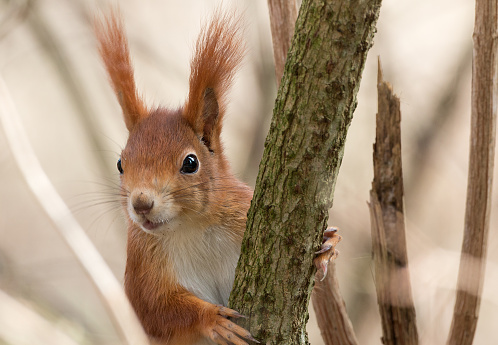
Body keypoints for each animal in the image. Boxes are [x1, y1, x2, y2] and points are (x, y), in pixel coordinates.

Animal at [95, 6, 340, 344]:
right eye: (121, 163)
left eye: (190, 163)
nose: (141, 204)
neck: (191, 226)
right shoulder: (142, 267)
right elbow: (155, 311)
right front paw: (212, 319)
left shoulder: (244, 208)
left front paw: (327, 247)